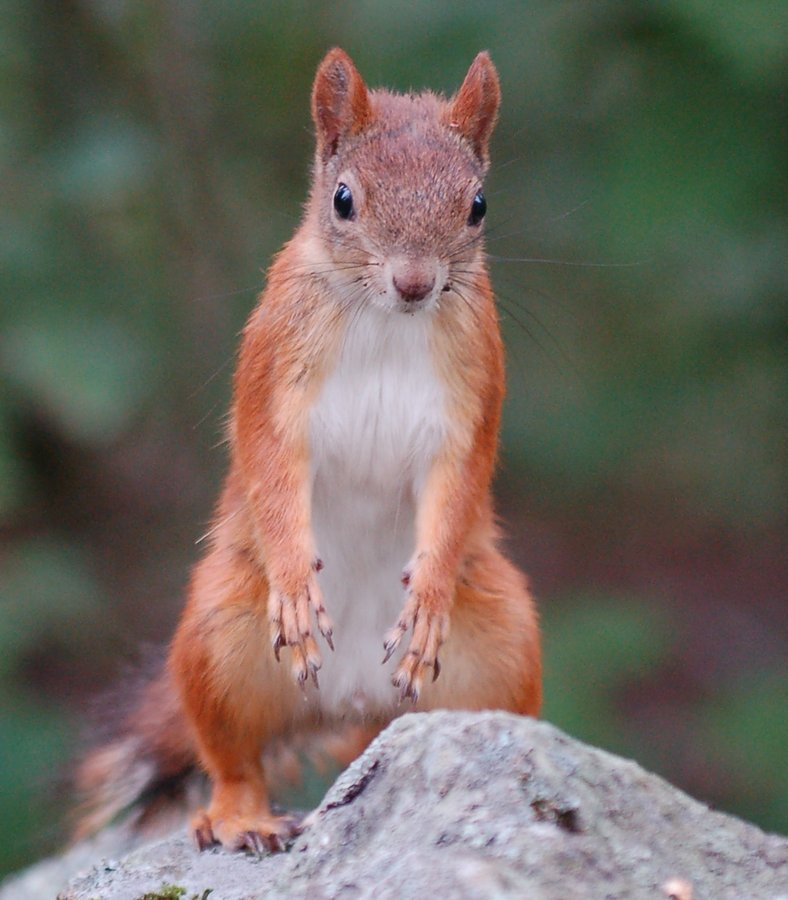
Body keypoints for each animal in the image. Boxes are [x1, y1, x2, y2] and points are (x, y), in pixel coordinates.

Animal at [73, 47, 542, 855]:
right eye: (344, 199)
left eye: (478, 205)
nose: (414, 283)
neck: (386, 321)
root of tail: (348, 703)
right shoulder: (272, 376)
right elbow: (269, 465)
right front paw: (295, 584)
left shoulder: (472, 397)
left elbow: (458, 488)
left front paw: (426, 599)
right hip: (220, 638)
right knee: (232, 756)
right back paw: (242, 818)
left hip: (504, 642)